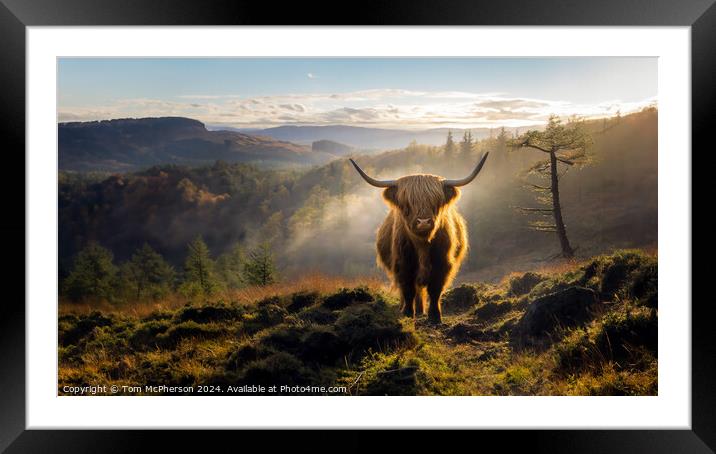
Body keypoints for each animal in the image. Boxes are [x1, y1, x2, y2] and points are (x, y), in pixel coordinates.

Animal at [350, 154, 490, 324]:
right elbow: (408, 290)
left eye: (435, 201)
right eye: (407, 203)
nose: (423, 222)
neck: (422, 244)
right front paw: (408, 314)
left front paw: (435, 317)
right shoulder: (403, 264)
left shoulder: (442, 264)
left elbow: (435, 290)